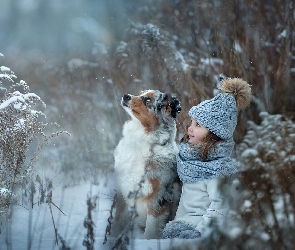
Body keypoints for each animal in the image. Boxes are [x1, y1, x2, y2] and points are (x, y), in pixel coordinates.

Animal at [111, 89, 183, 238]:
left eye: (148, 100)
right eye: (140, 93)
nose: (126, 96)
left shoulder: (158, 198)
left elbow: (150, 230)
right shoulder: (123, 193)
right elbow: (117, 223)